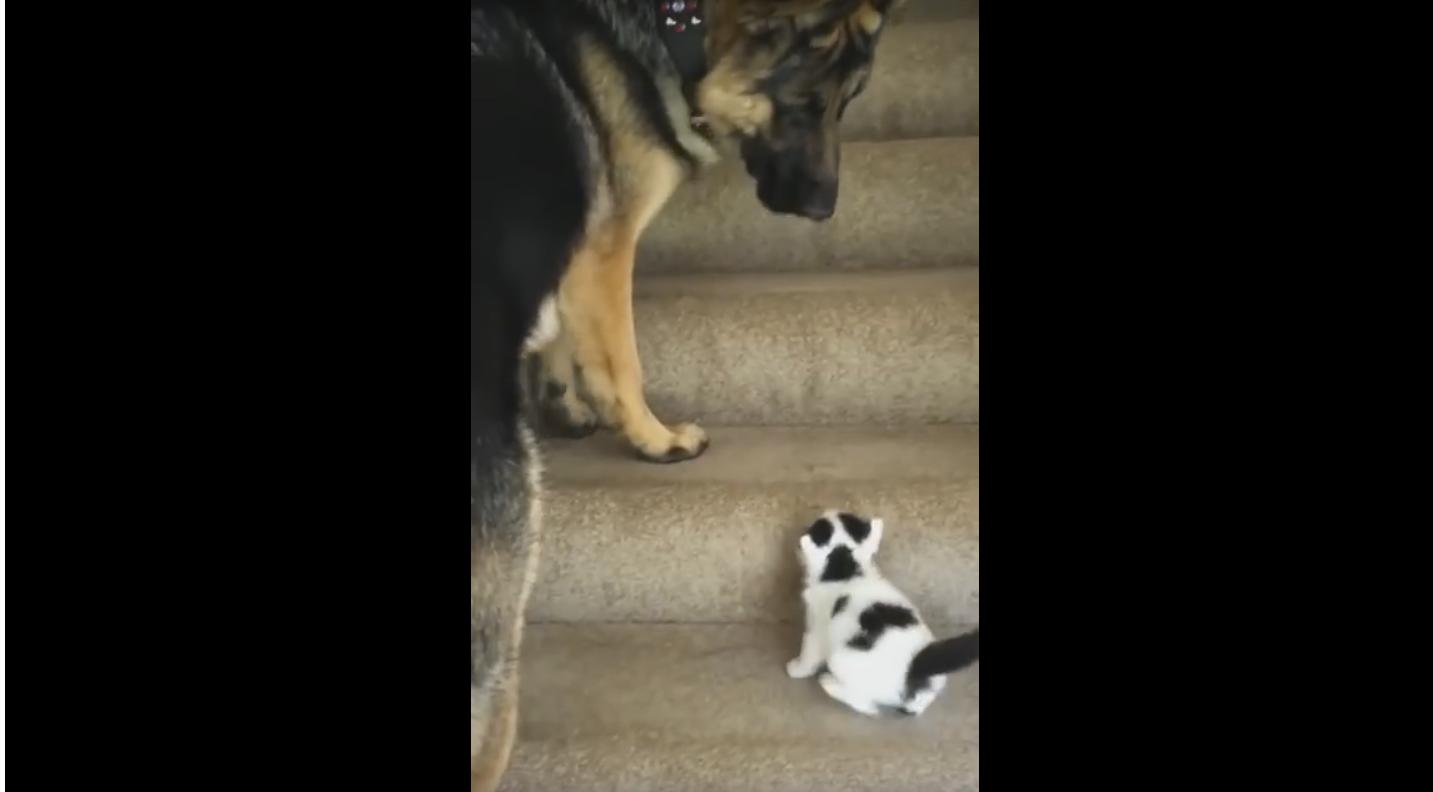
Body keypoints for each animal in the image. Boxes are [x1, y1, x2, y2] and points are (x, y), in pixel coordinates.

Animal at [471, 1, 903, 788]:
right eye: (803, 104)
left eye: (847, 104)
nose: (825, 211)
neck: (675, 24)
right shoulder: (606, 246)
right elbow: (620, 358)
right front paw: (654, 438)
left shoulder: (572, 240)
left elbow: (560, 337)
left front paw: (566, 406)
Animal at [786, 510, 980, 717]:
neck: (846, 569)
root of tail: (917, 664)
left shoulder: (817, 627)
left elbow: (809, 652)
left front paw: (796, 669)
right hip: (934, 680)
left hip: (842, 659)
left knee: (867, 706)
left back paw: (829, 684)